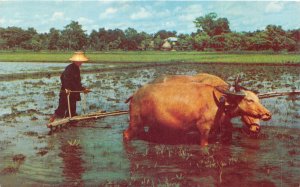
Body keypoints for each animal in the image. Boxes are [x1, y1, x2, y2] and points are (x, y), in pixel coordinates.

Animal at [123, 83, 270, 146]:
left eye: (258, 99)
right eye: (249, 100)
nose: (267, 114)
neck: (221, 103)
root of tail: (135, 95)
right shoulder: (203, 130)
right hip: (135, 123)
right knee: (126, 134)